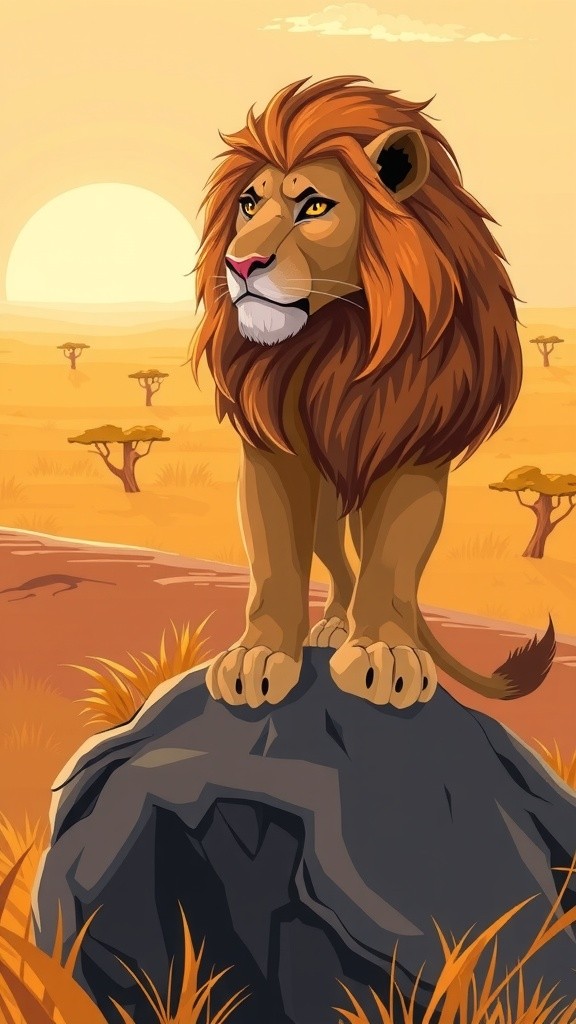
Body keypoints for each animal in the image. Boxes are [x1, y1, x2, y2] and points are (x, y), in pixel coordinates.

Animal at [190, 75, 555, 710]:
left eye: (314, 206)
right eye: (249, 204)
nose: (240, 263)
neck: (344, 337)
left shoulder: (417, 446)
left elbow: (391, 562)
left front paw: (385, 652)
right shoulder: (272, 450)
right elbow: (273, 561)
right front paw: (258, 654)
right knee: (337, 563)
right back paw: (335, 622)